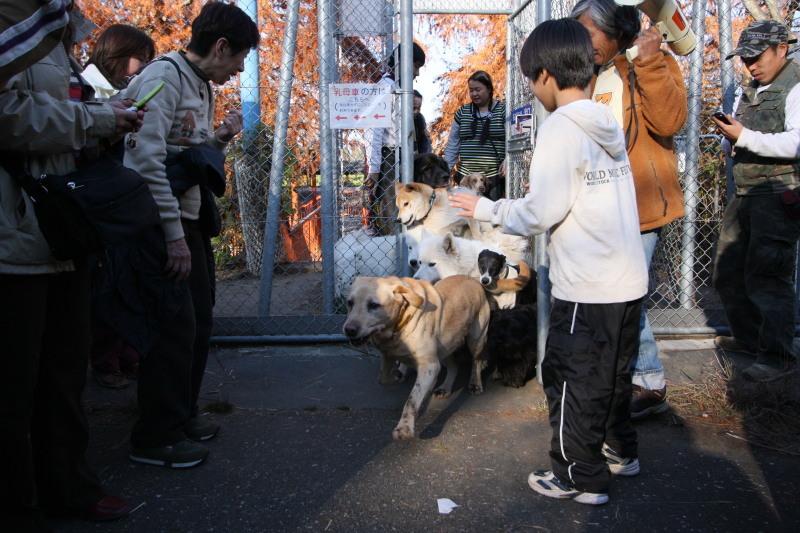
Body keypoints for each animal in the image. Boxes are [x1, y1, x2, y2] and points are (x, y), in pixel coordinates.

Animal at [342, 276, 490, 438]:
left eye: (374, 305)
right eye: (350, 303)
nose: (349, 330)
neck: (402, 320)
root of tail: (472, 278)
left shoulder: (429, 366)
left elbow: (412, 399)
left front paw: (404, 427)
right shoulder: (388, 356)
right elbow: (383, 379)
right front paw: (397, 376)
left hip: (475, 339)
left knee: (476, 362)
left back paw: (475, 384)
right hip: (446, 345)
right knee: (454, 366)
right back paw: (445, 388)